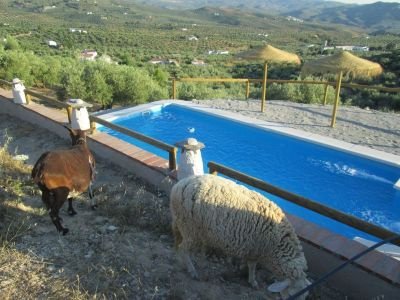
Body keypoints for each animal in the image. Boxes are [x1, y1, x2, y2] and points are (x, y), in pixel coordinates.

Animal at [170, 175, 310, 298]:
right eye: (292, 294)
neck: (276, 245)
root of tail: (178, 185)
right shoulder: (255, 250)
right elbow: (252, 267)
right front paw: (252, 281)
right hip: (189, 228)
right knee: (183, 249)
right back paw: (192, 271)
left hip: (189, 226)